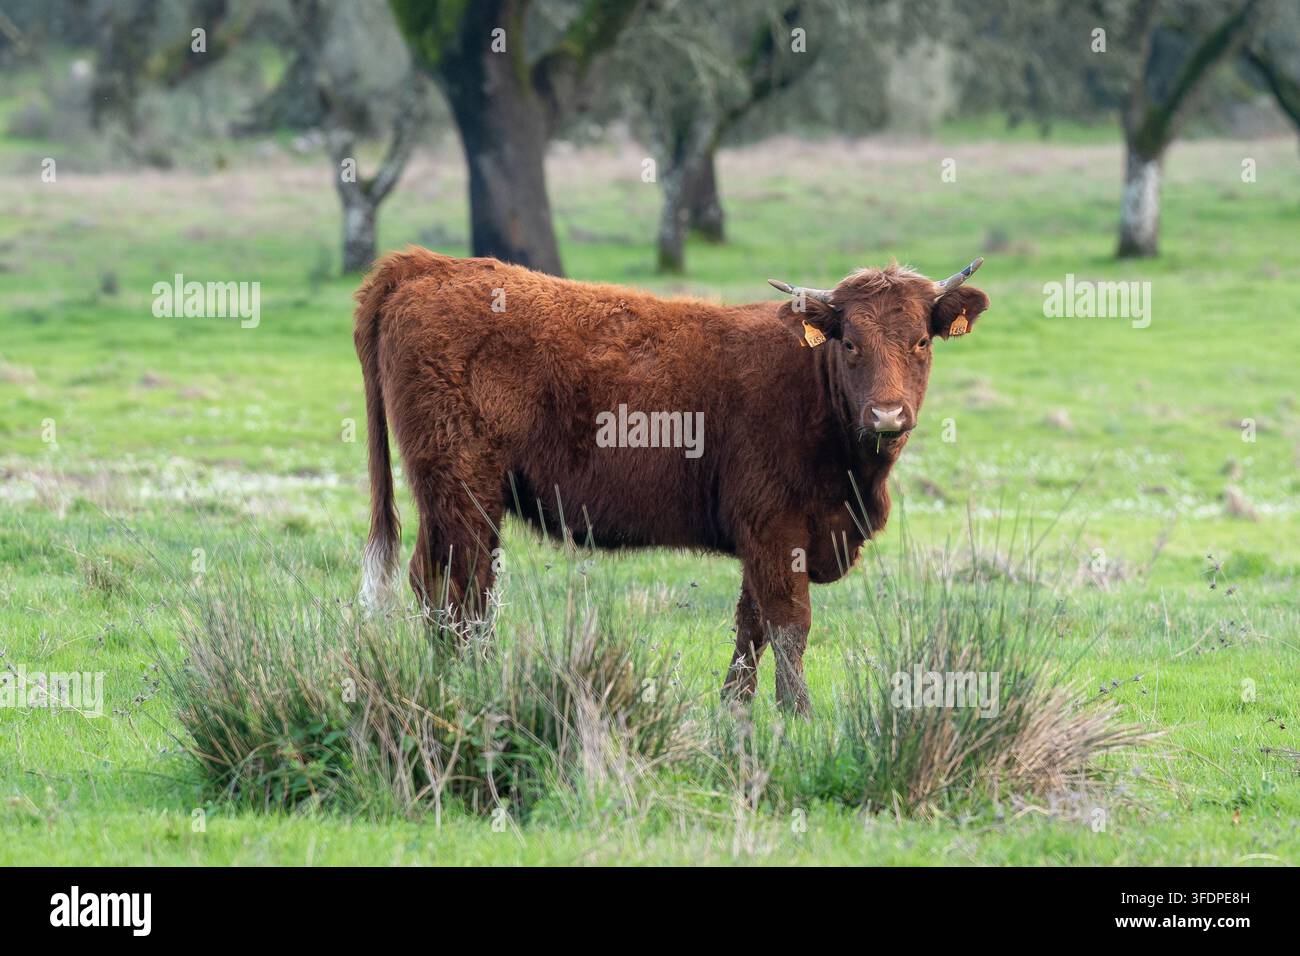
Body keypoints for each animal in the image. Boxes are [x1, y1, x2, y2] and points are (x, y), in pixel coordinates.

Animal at [354, 248, 990, 714]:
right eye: (851, 342)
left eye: (921, 341)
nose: (887, 415)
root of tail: (426, 265)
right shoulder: (776, 531)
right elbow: (789, 624)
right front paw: (798, 714)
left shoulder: (764, 539)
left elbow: (750, 625)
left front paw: (733, 711)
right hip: (462, 490)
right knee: (455, 589)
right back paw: (466, 685)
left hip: (462, 501)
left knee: (456, 587)